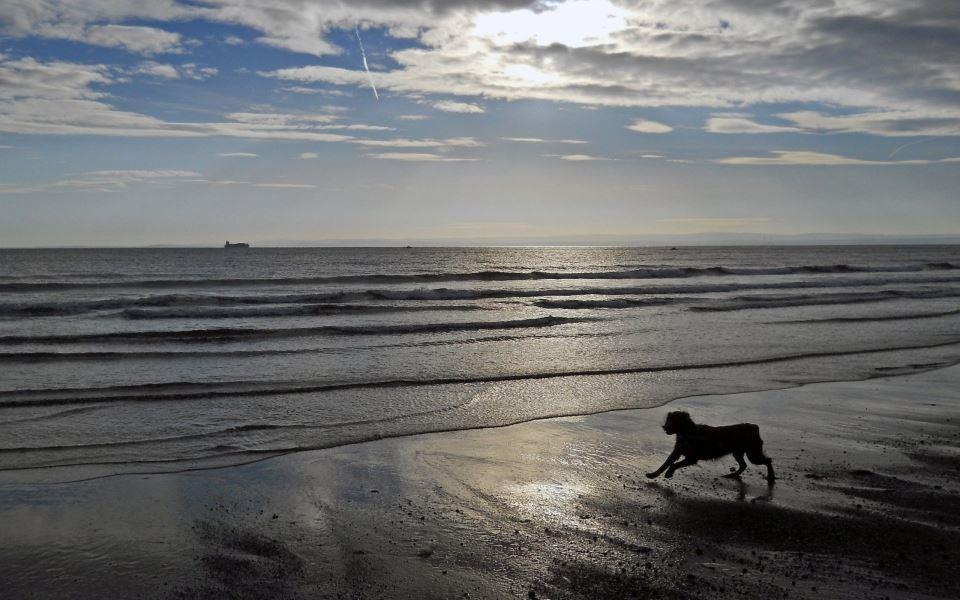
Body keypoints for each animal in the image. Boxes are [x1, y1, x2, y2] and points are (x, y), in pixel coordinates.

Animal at [644, 412, 772, 482]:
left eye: (674, 421)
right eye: (668, 420)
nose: (664, 427)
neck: (688, 433)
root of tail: (754, 427)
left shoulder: (691, 458)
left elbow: (674, 465)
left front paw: (669, 473)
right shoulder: (677, 452)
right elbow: (665, 464)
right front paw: (653, 475)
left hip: (753, 453)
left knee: (768, 461)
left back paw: (771, 477)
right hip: (738, 453)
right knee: (744, 465)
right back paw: (732, 475)